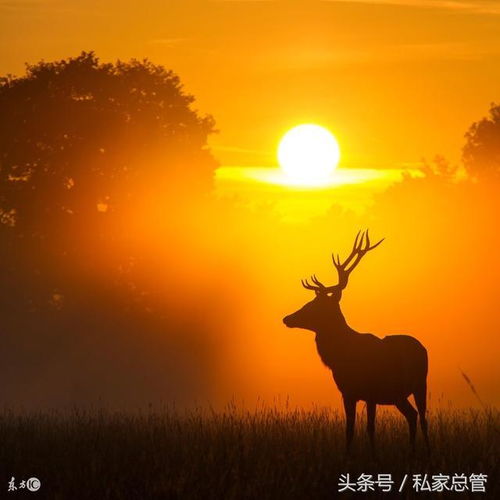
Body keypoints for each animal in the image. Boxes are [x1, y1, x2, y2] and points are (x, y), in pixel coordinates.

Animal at [284, 230, 428, 454]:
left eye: (314, 304)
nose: (287, 318)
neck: (342, 357)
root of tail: (423, 348)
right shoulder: (347, 392)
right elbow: (349, 429)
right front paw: (348, 456)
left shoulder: (371, 391)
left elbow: (370, 427)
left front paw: (374, 456)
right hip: (398, 395)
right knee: (412, 415)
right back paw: (412, 452)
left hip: (421, 383)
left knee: (422, 418)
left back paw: (428, 452)